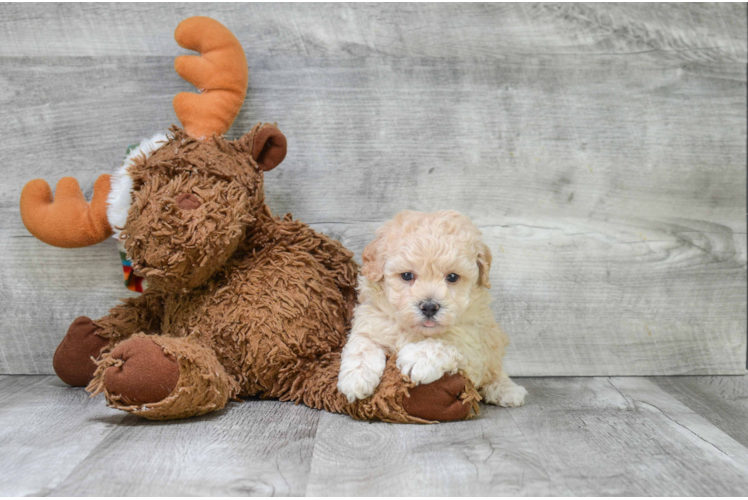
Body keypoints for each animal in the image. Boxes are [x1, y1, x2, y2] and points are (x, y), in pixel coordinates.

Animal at [338, 209, 524, 408]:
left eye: (452, 277)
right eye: (407, 275)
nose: (428, 307)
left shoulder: (475, 344)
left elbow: (450, 343)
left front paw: (418, 358)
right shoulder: (370, 321)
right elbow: (362, 345)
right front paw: (355, 378)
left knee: (495, 370)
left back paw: (506, 390)